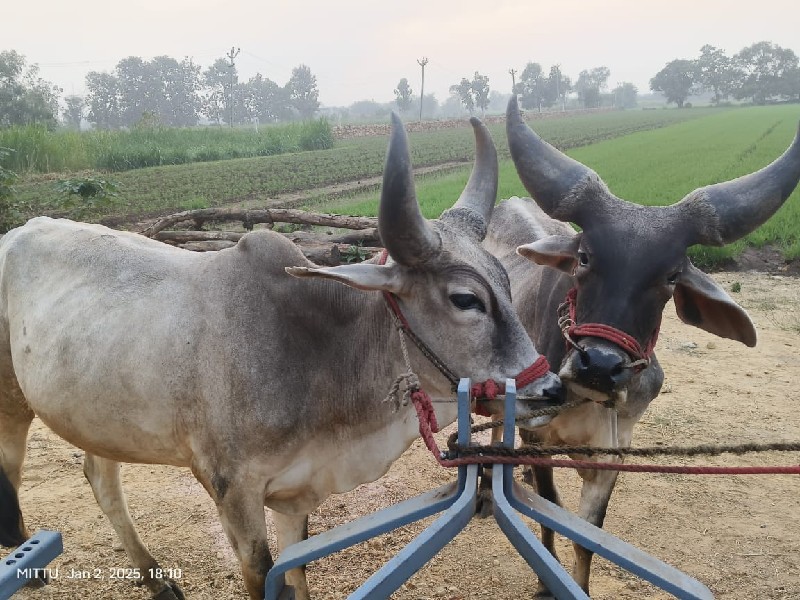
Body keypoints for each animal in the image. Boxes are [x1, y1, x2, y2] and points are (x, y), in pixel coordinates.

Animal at [1, 116, 564, 600]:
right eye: (465, 299)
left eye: (506, 280)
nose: (551, 390)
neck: (315, 353)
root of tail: (19, 230)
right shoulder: (232, 492)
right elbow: (262, 572)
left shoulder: (295, 494)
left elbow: (297, 571)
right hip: (12, 400)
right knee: (11, 467)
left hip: (100, 414)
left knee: (101, 480)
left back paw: (154, 577)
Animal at [484, 98, 800, 596]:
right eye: (584, 257)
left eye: (671, 276)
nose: (599, 366)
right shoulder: (538, 436)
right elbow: (549, 510)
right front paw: (545, 580)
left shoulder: (614, 452)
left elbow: (588, 536)